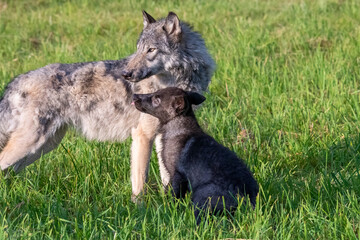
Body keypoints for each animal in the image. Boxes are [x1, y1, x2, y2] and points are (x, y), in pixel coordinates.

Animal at [0, 10, 214, 201]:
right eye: (138, 49)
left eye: (151, 50)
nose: (126, 74)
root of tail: (18, 79)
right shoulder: (142, 135)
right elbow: (140, 182)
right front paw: (140, 210)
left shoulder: (162, 136)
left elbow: (166, 175)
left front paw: (169, 207)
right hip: (33, 143)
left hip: (43, 146)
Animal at [132, 87, 258, 225]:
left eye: (156, 99)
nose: (134, 96)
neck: (177, 126)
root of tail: (247, 200)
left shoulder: (177, 175)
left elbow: (173, 195)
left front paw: (169, 209)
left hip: (202, 196)